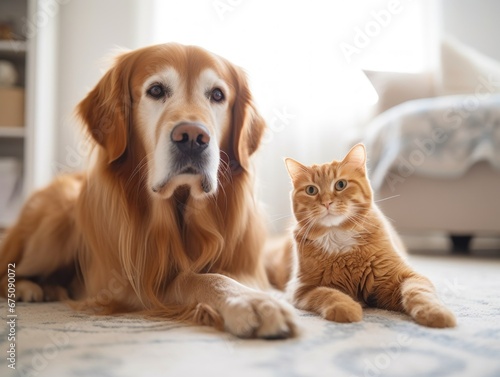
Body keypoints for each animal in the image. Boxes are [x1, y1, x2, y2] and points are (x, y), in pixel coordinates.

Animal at [284, 143, 456, 326]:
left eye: (340, 185)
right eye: (311, 190)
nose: (326, 203)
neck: (339, 241)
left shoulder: (404, 277)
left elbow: (419, 293)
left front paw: (434, 312)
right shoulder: (302, 289)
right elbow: (328, 293)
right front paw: (346, 307)